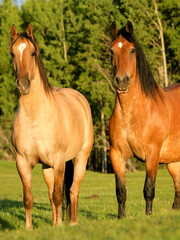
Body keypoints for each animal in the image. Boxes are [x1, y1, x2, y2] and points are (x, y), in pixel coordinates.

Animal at [9, 23, 93, 229]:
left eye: (32, 52)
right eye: (13, 54)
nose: (23, 84)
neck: (34, 116)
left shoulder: (59, 160)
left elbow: (58, 196)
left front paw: (59, 227)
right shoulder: (22, 162)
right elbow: (29, 198)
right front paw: (29, 229)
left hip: (80, 159)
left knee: (73, 190)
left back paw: (72, 222)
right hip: (47, 167)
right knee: (51, 193)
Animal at [109, 21, 180, 219]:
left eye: (132, 50)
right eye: (111, 51)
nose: (121, 81)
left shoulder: (152, 155)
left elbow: (149, 188)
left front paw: (148, 215)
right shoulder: (116, 155)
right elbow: (120, 191)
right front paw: (121, 218)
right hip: (173, 162)